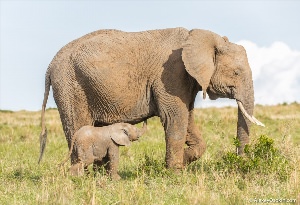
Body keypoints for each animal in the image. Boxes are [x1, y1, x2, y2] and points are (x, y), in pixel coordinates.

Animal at [38, 27, 264, 169]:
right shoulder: (170, 75)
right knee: (78, 127)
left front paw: (182, 161)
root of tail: (50, 66)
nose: (240, 163)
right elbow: (175, 119)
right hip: (70, 87)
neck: (201, 37)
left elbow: (187, 119)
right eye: (236, 72)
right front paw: (175, 172)